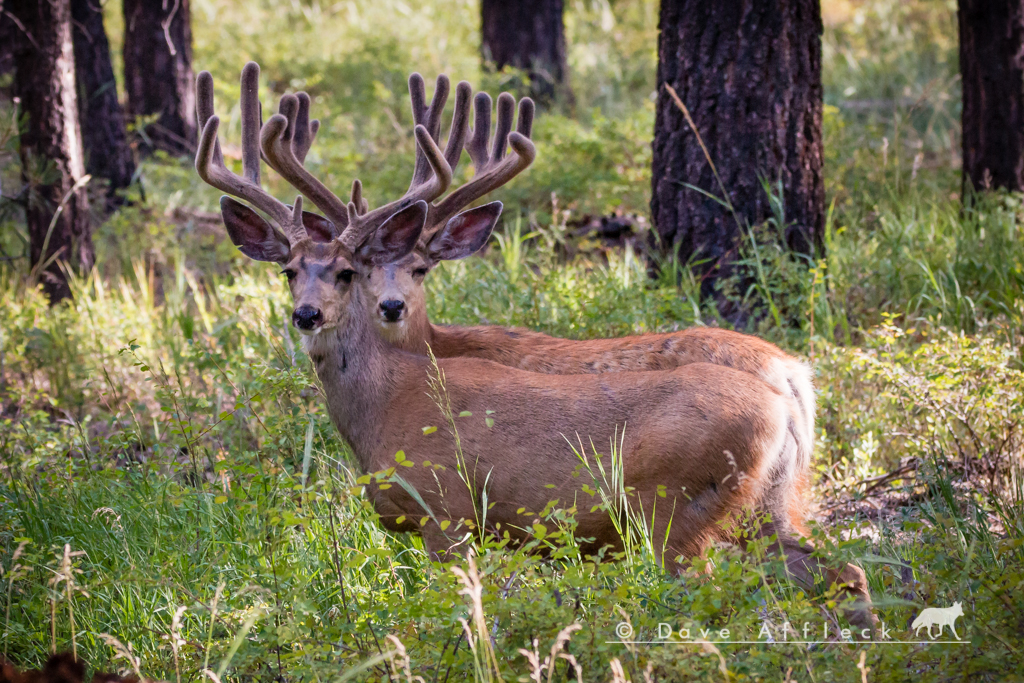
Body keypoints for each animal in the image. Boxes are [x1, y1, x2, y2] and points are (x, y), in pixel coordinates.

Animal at [195, 63, 876, 630]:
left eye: (343, 272)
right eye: (288, 271)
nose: (306, 314)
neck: (383, 403)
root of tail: (789, 394)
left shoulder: (449, 511)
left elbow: (464, 614)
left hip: (674, 509)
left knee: (712, 598)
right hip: (766, 506)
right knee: (845, 573)